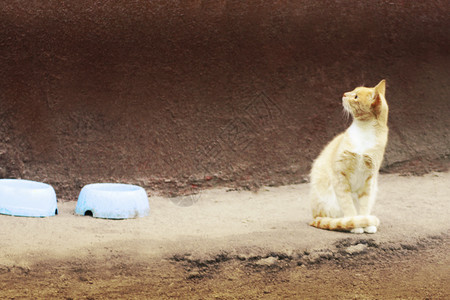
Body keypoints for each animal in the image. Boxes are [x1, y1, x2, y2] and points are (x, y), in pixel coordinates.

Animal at [310, 80, 386, 234]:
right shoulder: (340, 176)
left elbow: (364, 206)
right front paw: (355, 224)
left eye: (356, 96)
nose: (344, 94)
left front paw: (366, 224)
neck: (364, 131)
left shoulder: (369, 180)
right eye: (353, 90)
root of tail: (313, 216)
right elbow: (348, 205)